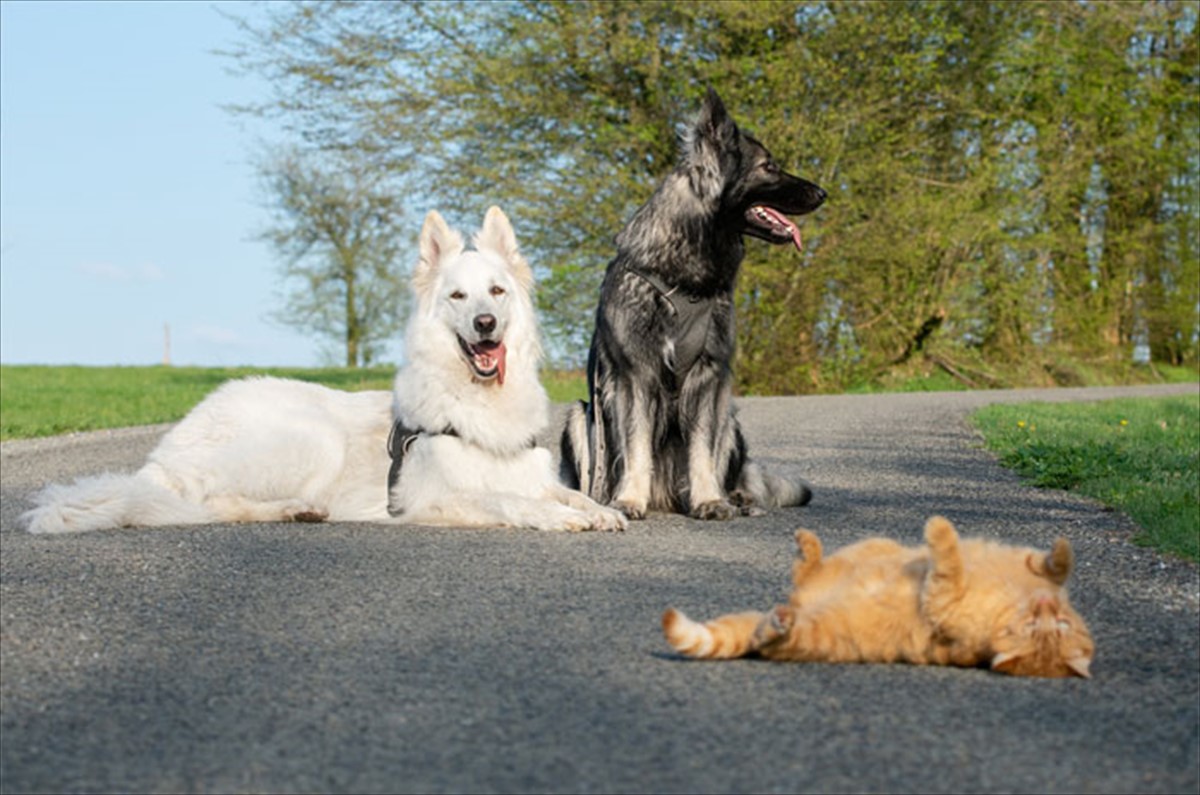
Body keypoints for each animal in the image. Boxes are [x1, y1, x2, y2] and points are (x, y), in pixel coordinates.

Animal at [21, 210, 628, 535]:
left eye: (497, 292)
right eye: (458, 296)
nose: (486, 325)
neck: (477, 403)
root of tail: (161, 458)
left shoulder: (533, 476)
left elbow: (567, 494)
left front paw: (597, 510)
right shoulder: (433, 499)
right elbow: (507, 500)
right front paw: (557, 519)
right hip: (312, 440)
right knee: (210, 505)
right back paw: (291, 508)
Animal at [559, 90, 825, 523]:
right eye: (768, 167)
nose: (823, 193)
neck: (683, 277)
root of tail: (667, 497)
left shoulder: (707, 375)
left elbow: (702, 450)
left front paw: (708, 501)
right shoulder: (635, 376)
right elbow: (636, 445)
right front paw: (629, 500)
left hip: (729, 417)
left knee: (733, 471)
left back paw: (739, 499)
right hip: (580, 418)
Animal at [667, 521, 1099, 682]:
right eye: (1057, 624)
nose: (1045, 607)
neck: (1015, 600)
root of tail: (802, 607)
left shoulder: (943, 602)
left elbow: (949, 560)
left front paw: (939, 528)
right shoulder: (1036, 572)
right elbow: (1056, 563)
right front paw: (1059, 550)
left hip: (814, 632)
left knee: (770, 634)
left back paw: (779, 621)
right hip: (871, 547)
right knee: (807, 572)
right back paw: (807, 546)